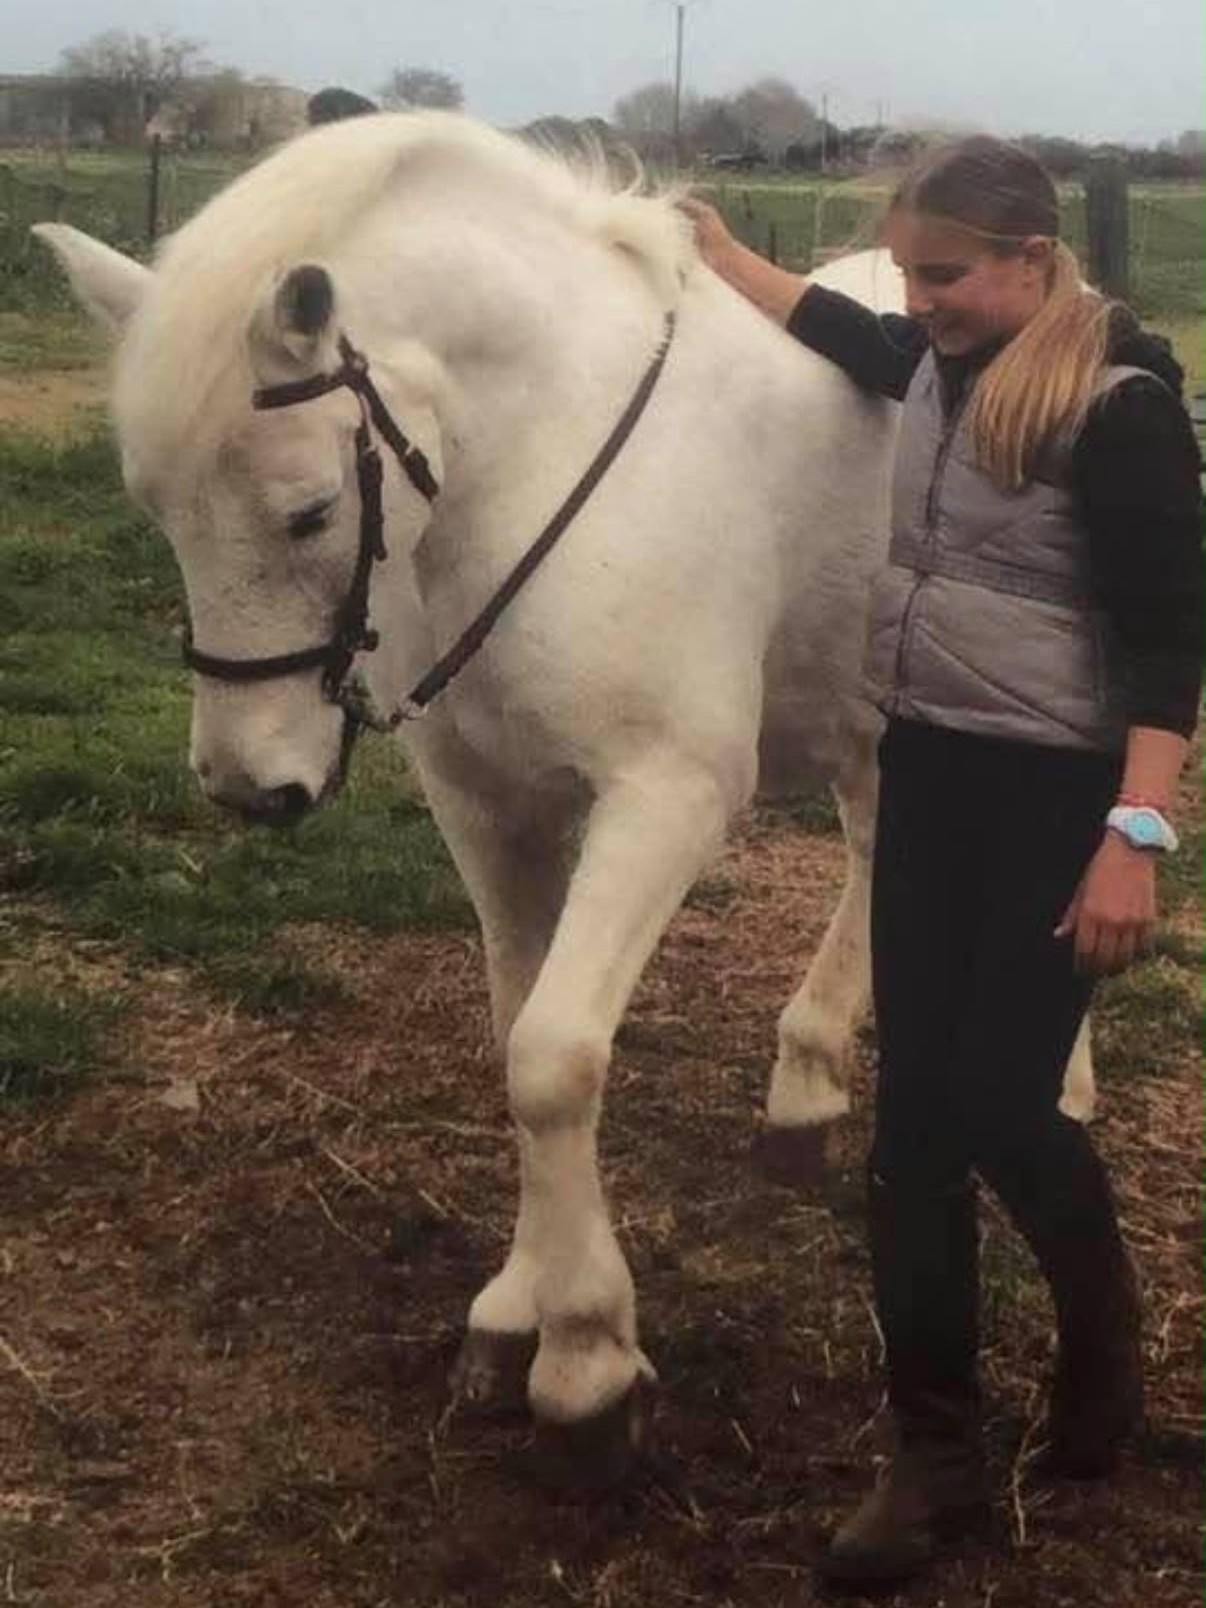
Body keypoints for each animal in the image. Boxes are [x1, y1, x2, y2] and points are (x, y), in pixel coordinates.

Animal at [35, 110, 1096, 1472]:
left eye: (310, 510)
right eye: (154, 507)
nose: (246, 784)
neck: (541, 465)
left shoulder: (667, 798)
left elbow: (552, 1059)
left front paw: (588, 1354)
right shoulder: (487, 803)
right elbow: (516, 1037)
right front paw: (518, 1308)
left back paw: (1061, 1079)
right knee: (874, 849)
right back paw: (807, 1083)